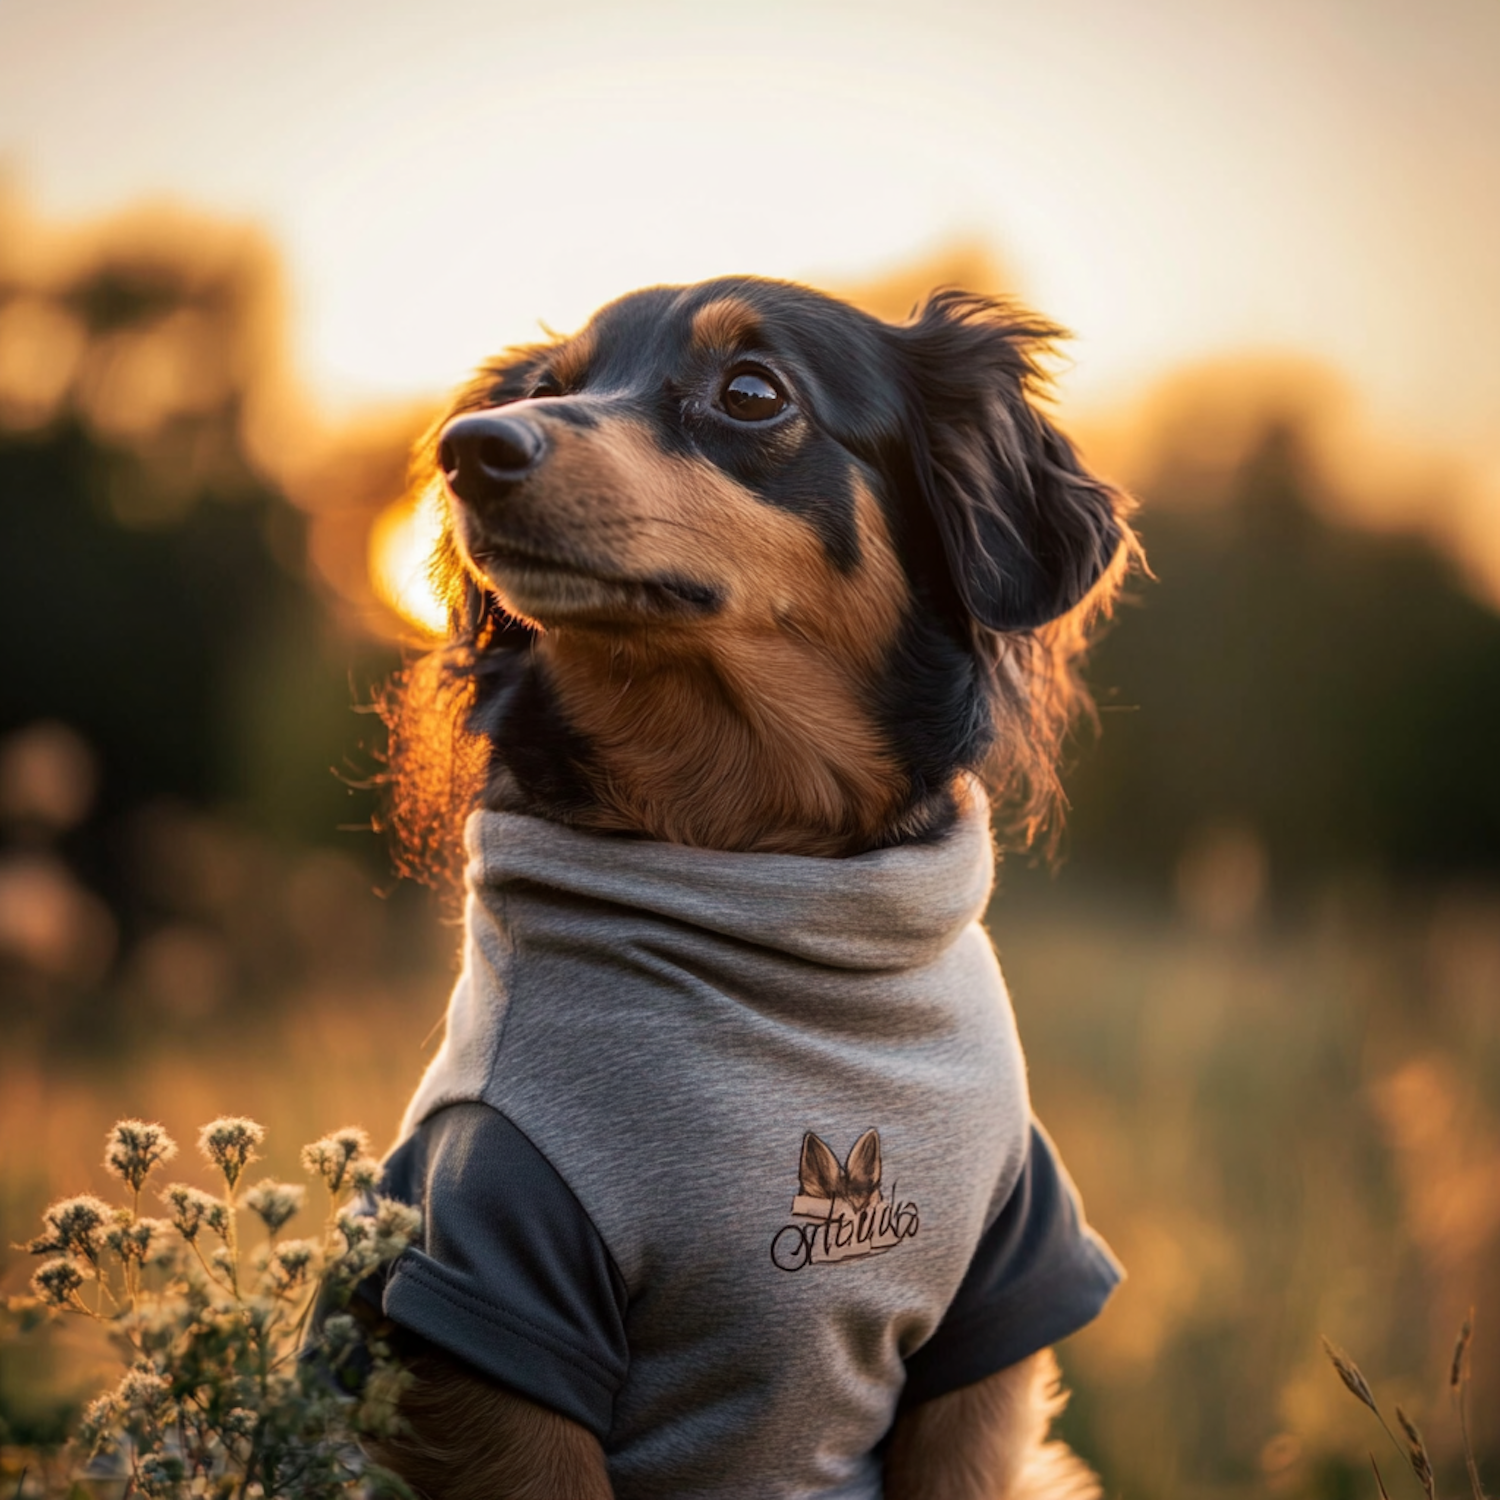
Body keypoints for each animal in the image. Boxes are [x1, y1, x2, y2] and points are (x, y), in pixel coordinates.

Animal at [372, 276, 1134, 1494]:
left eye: (750, 392)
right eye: (551, 386)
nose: (470, 449)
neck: (753, 863)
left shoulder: (998, 1306)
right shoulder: (490, 1293)